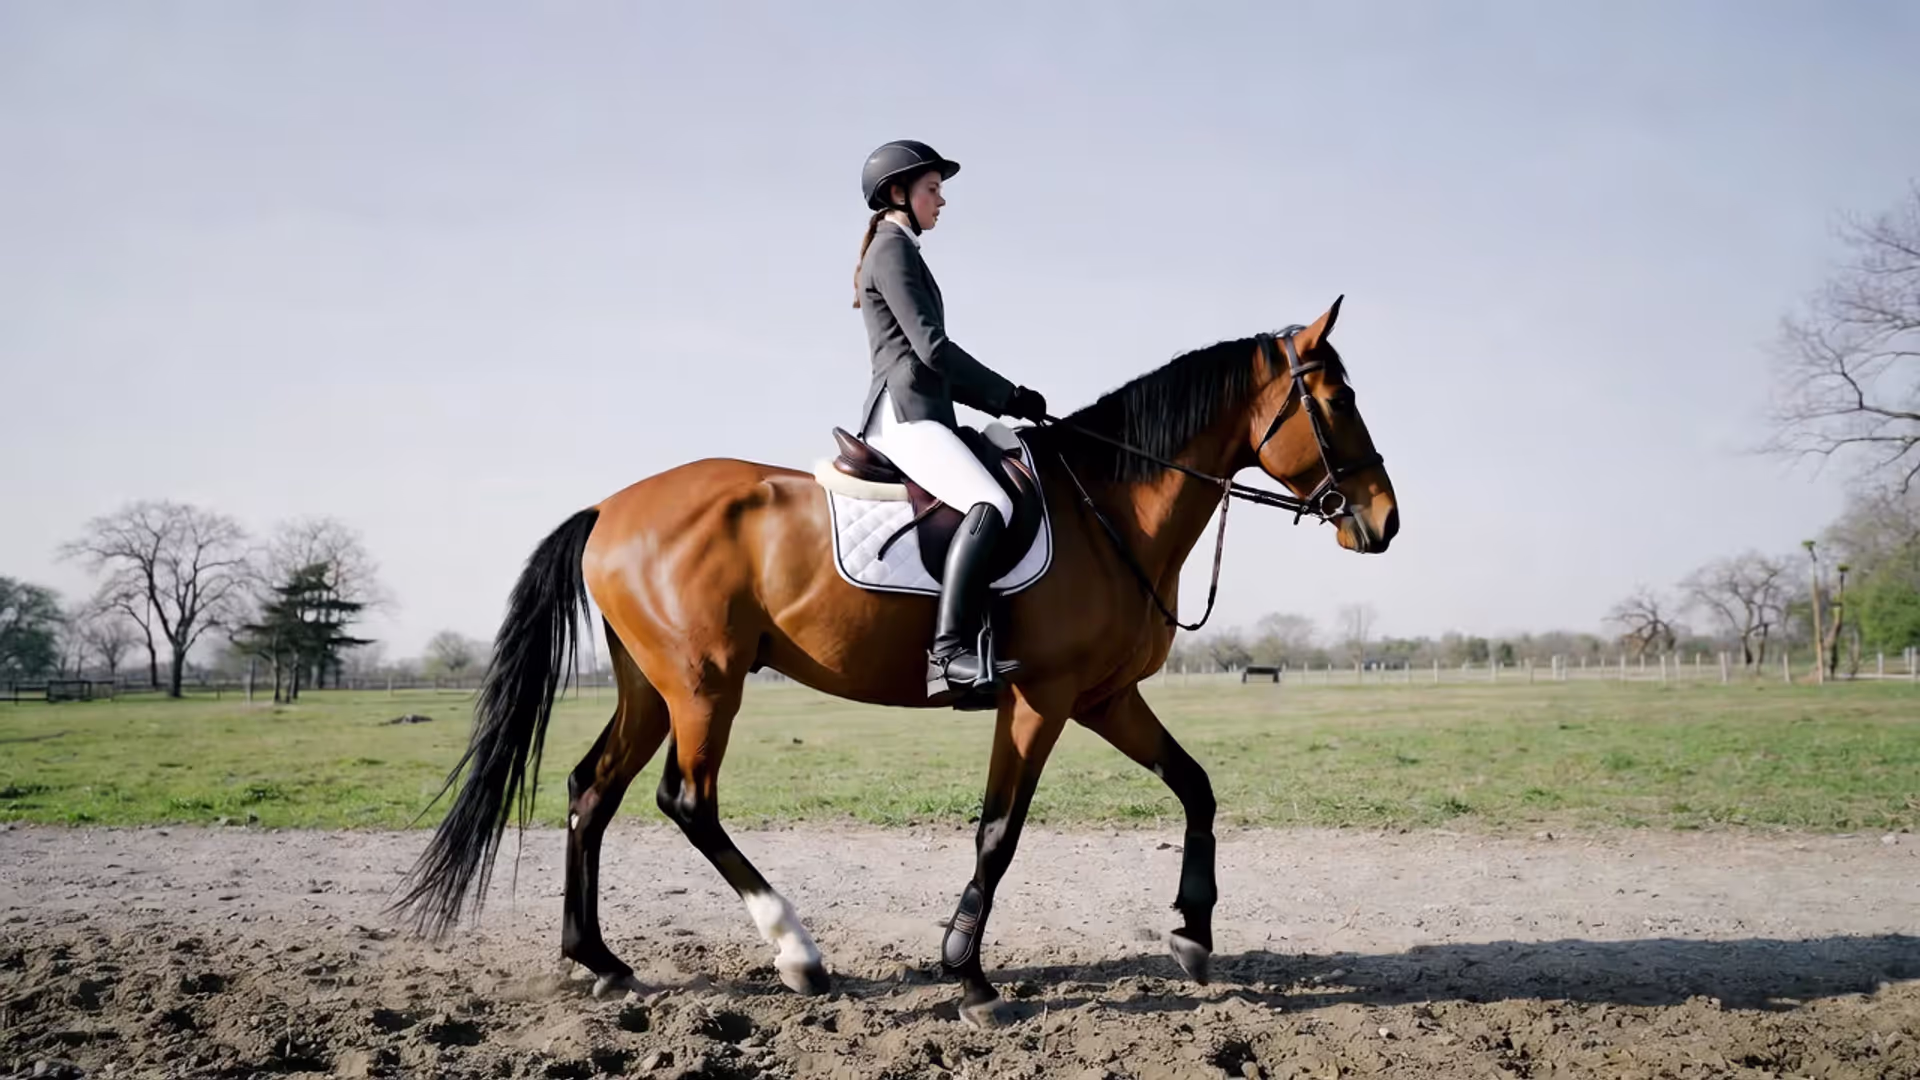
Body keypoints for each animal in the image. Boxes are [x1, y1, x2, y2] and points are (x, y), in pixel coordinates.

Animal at [393, 296, 1398, 1027]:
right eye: (1337, 401)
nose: (1383, 522)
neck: (1108, 505)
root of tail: (609, 507)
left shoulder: (1105, 696)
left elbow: (1195, 786)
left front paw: (1192, 934)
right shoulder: (1041, 697)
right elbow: (999, 830)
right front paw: (968, 974)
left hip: (652, 688)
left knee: (590, 791)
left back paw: (598, 962)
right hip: (706, 686)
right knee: (686, 801)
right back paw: (796, 954)